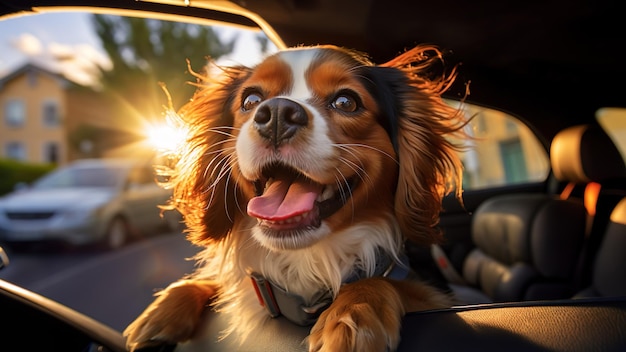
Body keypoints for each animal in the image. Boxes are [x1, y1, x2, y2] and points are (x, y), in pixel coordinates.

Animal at [124, 44, 466, 352]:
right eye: (251, 100)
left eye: (347, 101)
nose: (277, 113)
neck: (308, 262)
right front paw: (165, 308)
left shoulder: (431, 294)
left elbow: (387, 283)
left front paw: (353, 314)